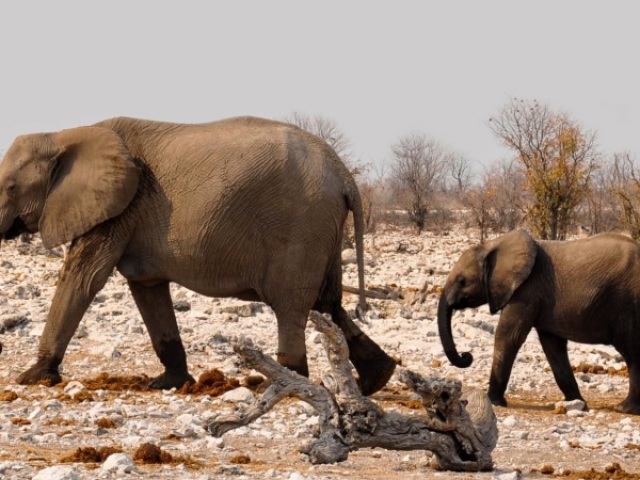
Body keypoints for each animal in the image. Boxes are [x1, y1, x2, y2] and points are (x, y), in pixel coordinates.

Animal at [0, 115, 398, 394]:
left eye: (10, 187)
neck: (63, 135)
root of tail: (345, 175)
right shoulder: (130, 210)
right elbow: (147, 288)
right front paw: (168, 383)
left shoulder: (119, 208)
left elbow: (83, 278)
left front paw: (33, 378)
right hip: (324, 228)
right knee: (328, 303)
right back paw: (377, 379)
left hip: (303, 226)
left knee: (292, 306)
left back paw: (286, 382)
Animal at [438, 228, 640, 412]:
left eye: (462, 281)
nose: (466, 355)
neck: (492, 245)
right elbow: (553, 347)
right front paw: (578, 404)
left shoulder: (526, 292)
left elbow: (508, 337)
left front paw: (493, 402)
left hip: (628, 305)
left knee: (632, 352)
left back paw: (624, 409)